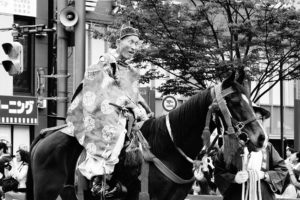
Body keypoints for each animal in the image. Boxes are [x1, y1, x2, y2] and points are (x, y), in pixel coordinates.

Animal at [26, 72, 268, 200]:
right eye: (234, 102)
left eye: (249, 100)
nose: (261, 138)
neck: (168, 147)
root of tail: (47, 136)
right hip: (46, 190)